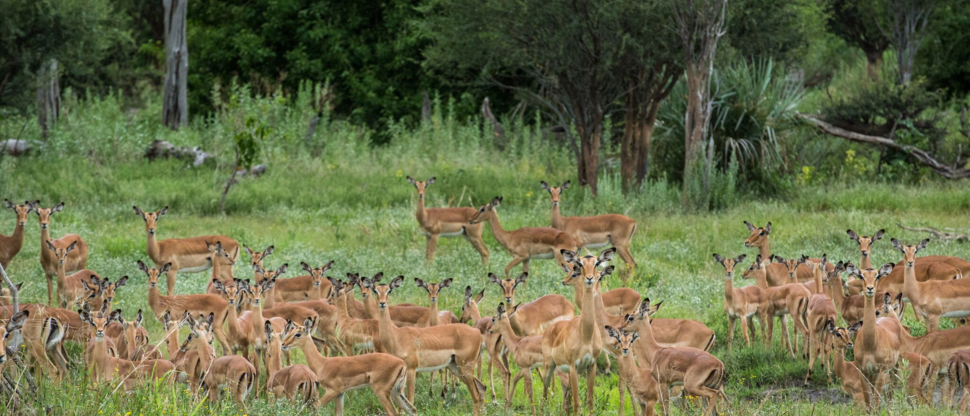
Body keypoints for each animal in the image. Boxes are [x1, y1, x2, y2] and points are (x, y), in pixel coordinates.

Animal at [282, 317, 417, 416]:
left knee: (394, 413)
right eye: (290, 332)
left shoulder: (332, 391)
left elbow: (316, 408)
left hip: (382, 392)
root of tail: (402, 363)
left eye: (298, 334)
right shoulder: (340, 394)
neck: (322, 363)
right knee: (412, 409)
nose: (283, 344)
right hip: (396, 391)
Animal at [371, 276, 487, 414]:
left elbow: (411, 400)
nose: (382, 303)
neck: (397, 336)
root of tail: (477, 332)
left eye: (389, 290)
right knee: (482, 388)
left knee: (476, 396)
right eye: (375, 290)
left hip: (465, 368)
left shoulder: (411, 370)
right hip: (455, 367)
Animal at [539, 248, 610, 416]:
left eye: (596, 263)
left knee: (566, 401)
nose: (590, 278)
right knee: (544, 396)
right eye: (580, 263)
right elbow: (578, 403)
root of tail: (550, 329)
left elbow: (589, 401)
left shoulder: (591, 366)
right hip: (549, 367)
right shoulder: (573, 366)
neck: (586, 335)